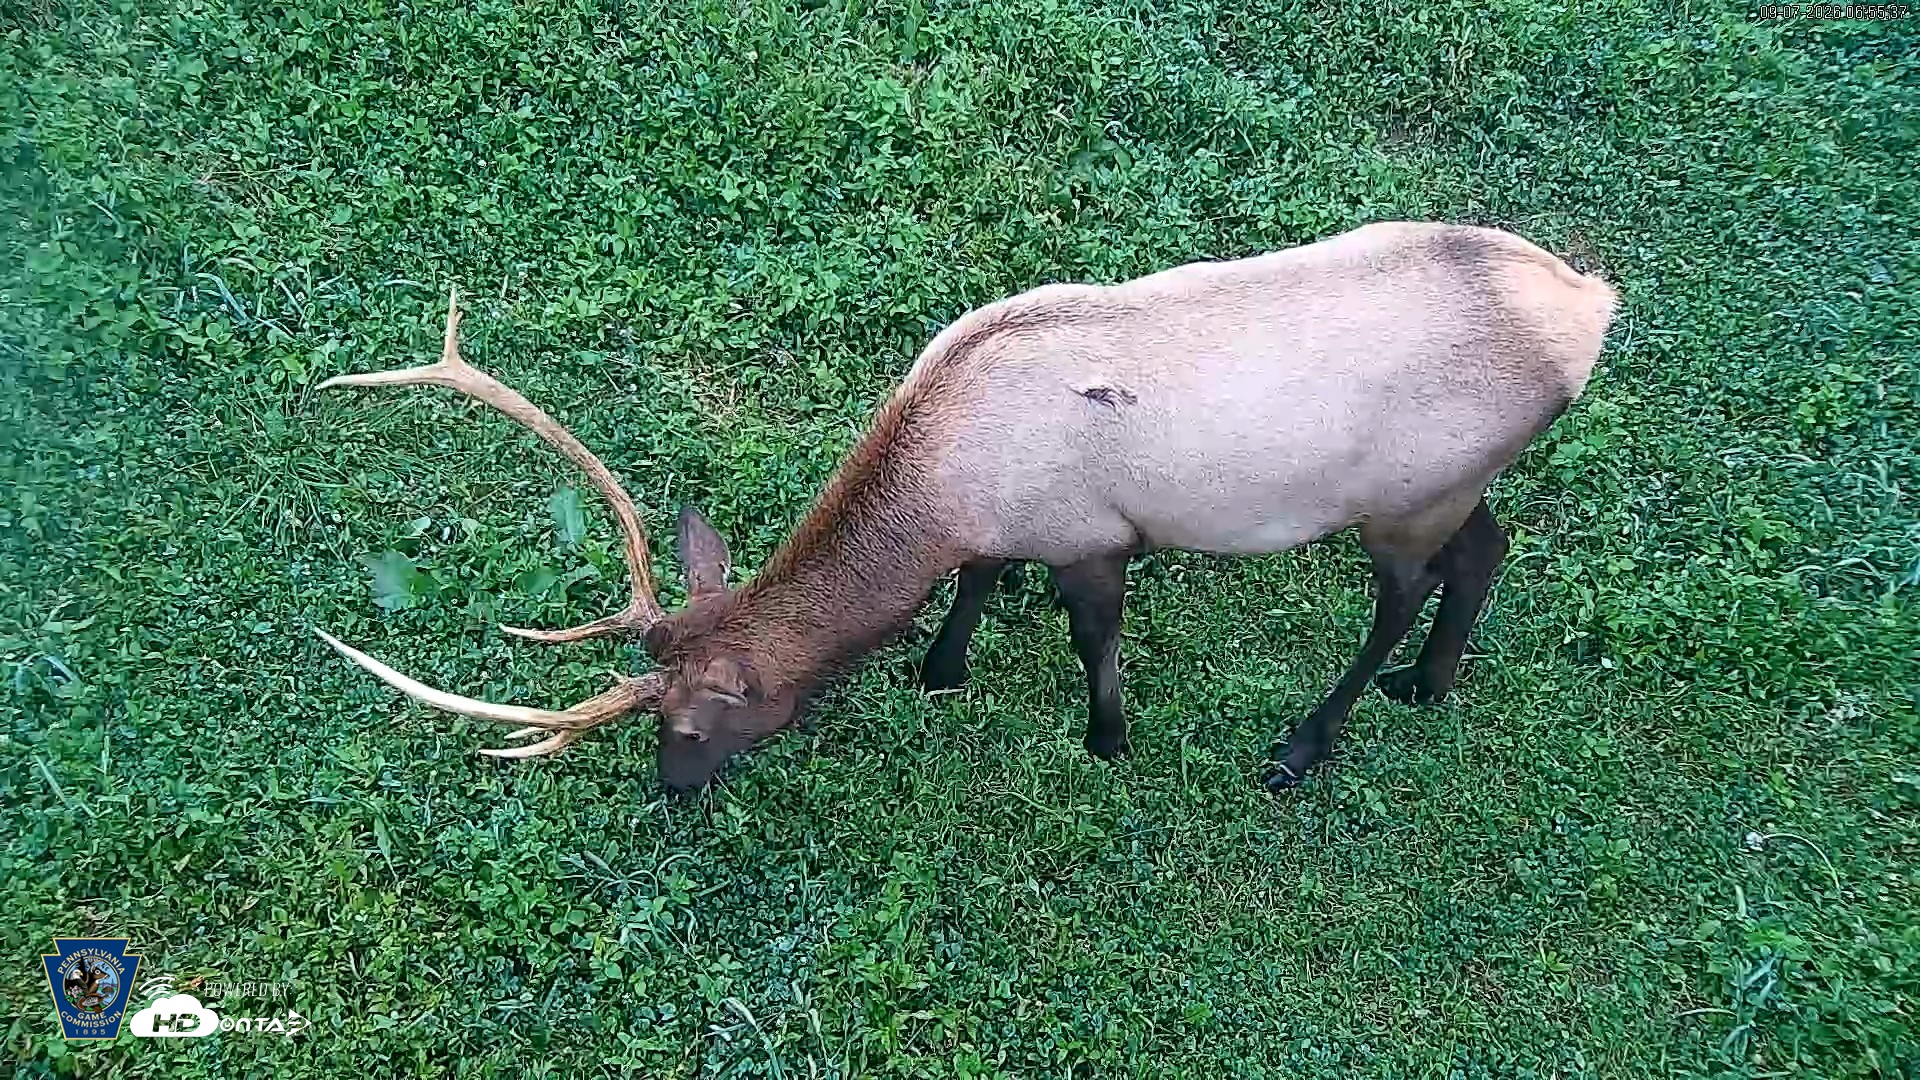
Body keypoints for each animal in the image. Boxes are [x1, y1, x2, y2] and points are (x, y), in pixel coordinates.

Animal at [311, 221, 1617, 793]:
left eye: (694, 720)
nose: (668, 791)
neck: (945, 484)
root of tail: (1590, 309)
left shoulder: (1095, 536)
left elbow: (1092, 638)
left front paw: (1108, 738)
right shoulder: (1007, 532)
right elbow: (982, 586)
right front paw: (939, 668)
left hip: (1402, 495)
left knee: (1401, 593)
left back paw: (1307, 742)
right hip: (1460, 483)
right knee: (1489, 549)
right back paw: (1430, 686)